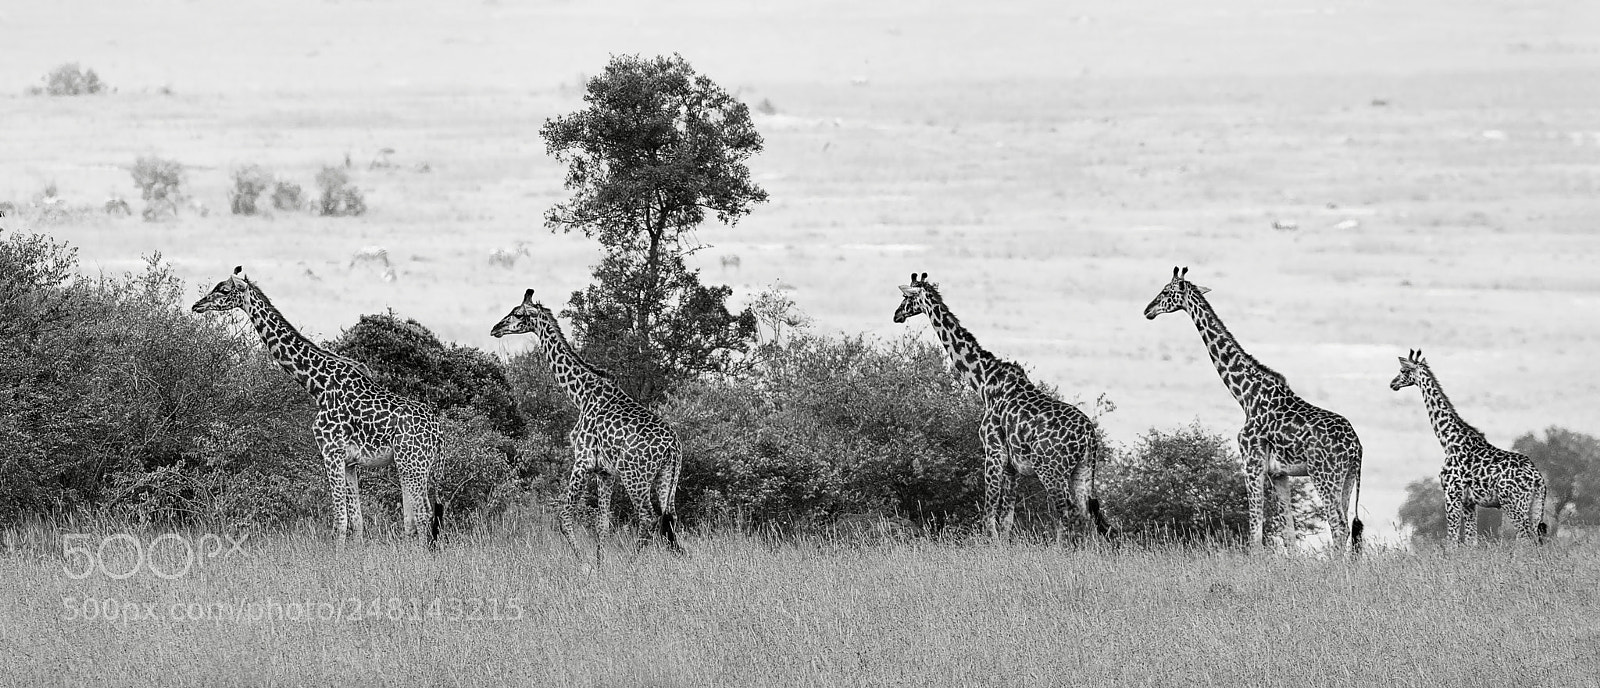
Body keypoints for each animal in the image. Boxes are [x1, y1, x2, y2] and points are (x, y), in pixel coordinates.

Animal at [191, 267, 441, 544]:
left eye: (224, 290)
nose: (196, 305)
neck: (318, 387)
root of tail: (438, 431)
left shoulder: (330, 452)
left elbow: (340, 521)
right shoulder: (350, 462)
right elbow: (357, 521)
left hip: (413, 462)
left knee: (423, 513)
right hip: (411, 464)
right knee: (415, 517)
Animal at [490, 288, 684, 554]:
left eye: (518, 313)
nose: (495, 328)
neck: (581, 395)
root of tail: (674, 446)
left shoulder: (582, 461)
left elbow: (564, 517)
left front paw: (583, 561)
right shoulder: (604, 472)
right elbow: (602, 525)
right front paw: (599, 563)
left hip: (635, 476)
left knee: (648, 517)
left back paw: (633, 562)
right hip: (667, 477)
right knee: (670, 520)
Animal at [893, 272, 1113, 542]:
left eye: (906, 297)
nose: (896, 315)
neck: (984, 382)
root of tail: (1089, 436)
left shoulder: (993, 452)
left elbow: (989, 514)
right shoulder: (1011, 466)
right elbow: (1006, 518)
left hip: (1051, 469)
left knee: (1066, 513)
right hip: (1083, 470)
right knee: (1089, 516)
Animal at [1144, 267, 1363, 552]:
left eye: (1165, 291)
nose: (1147, 310)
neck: (1246, 396)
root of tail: (1356, 447)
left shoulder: (1252, 462)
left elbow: (1255, 531)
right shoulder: (1279, 473)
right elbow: (1288, 533)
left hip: (1324, 474)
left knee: (1338, 526)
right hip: (1347, 477)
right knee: (1345, 525)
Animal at [1390, 349, 1548, 544]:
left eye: (1403, 370)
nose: (1392, 383)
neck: (1448, 440)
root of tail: (1537, 478)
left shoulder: (1451, 495)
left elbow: (1452, 541)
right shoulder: (1469, 502)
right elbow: (1471, 542)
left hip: (1514, 504)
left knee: (1526, 539)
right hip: (1534, 505)